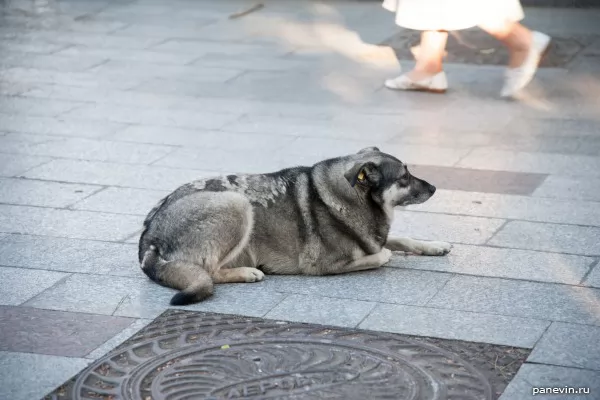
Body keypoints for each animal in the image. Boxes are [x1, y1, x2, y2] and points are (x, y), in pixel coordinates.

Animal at [139, 147, 450, 306]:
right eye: (404, 177)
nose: (435, 188)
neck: (351, 196)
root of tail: (148, 239)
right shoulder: (323, 265)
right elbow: (380, 255)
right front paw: (385, 254)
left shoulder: (376, 236)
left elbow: (401, 239)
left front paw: (435, 246)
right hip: (236, 204)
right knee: (211, 271)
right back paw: (247, 272)